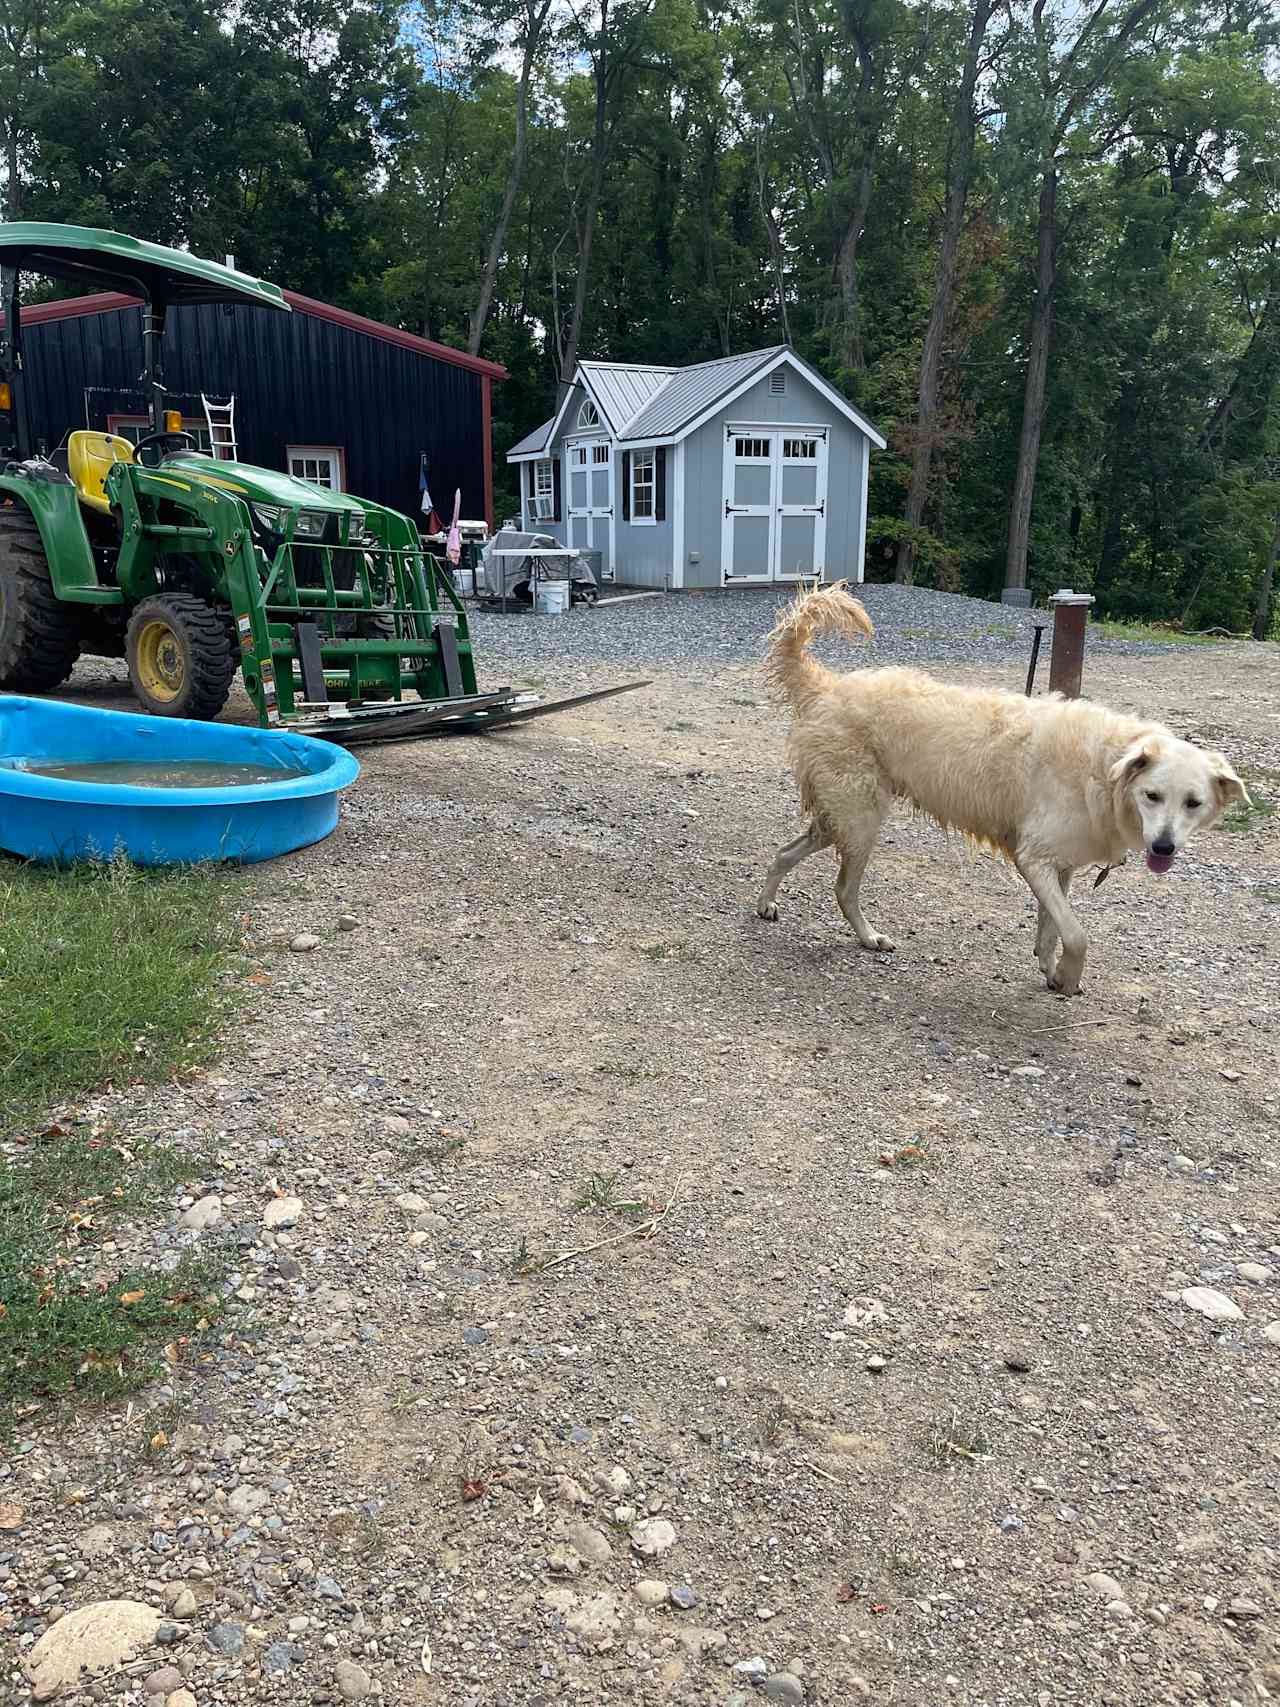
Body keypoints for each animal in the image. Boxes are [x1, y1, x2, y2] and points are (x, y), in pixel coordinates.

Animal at [757, 583, 1249, 996]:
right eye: (1152, 796)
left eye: (1193, 803)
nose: (1164, 848)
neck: (1106, 769)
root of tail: (827, 686)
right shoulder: (1034, 859)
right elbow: (1078, 935)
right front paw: (1069, 977)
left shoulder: (1060, 864)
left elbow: (1051, 928)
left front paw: (1050, 969)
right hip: (861, 819)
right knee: (843, 888)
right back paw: (868, 936)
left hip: (839, 816)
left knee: (785, 852)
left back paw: (766, 905)